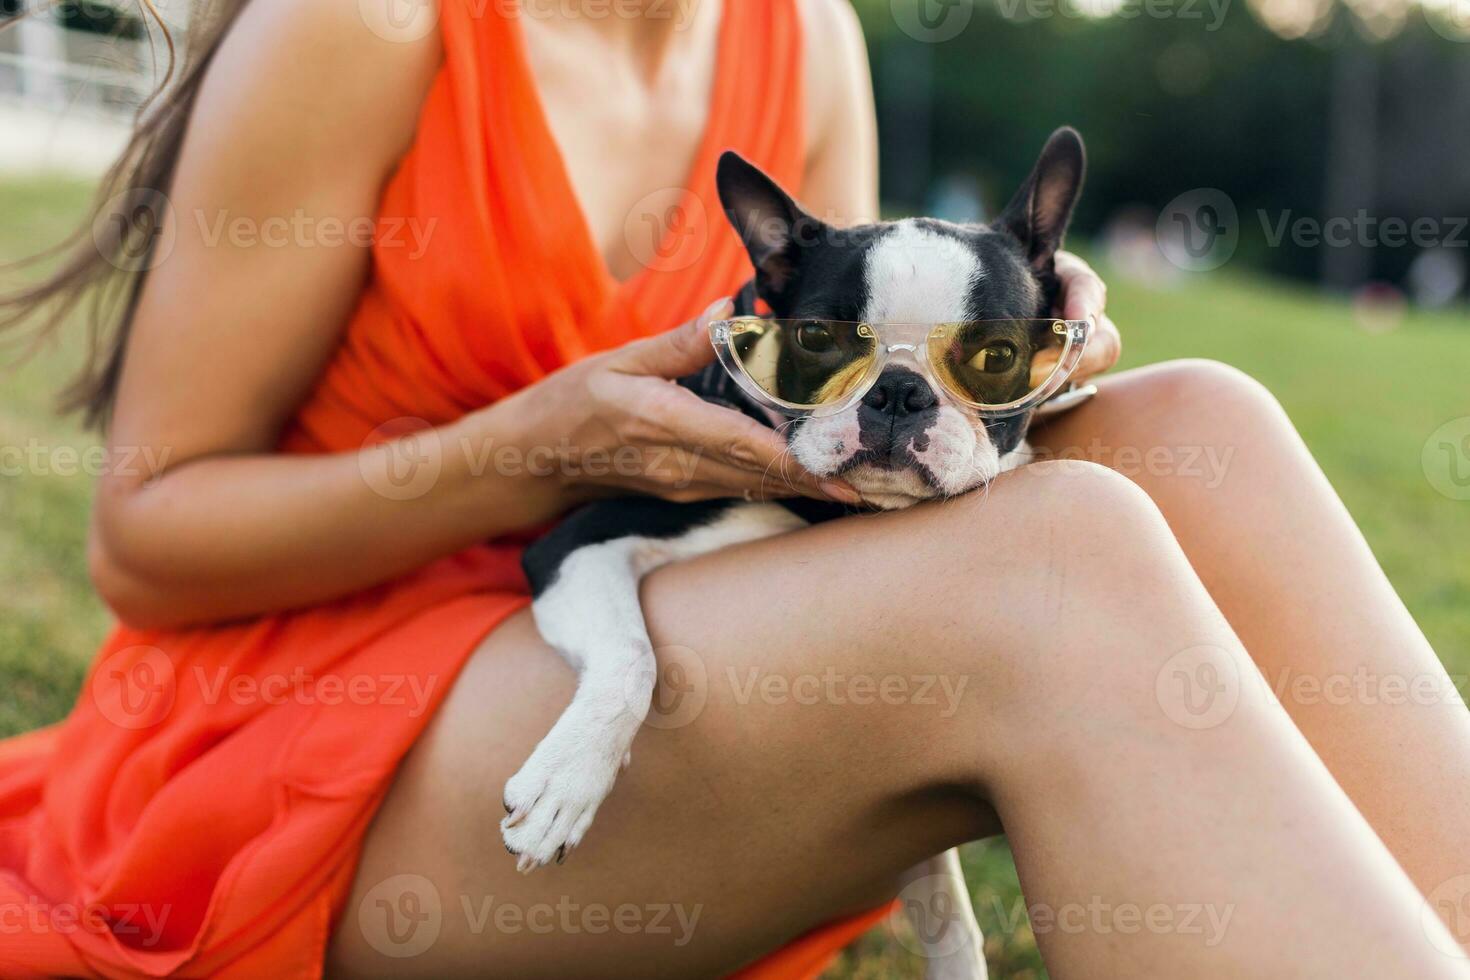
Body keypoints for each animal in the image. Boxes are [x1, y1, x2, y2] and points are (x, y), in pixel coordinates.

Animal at [505, 128, 1093, 975]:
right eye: (817, 340)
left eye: (995, 357)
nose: (899, 391)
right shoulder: (575, 545)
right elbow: (630, 657)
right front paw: (567, 778)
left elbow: (946, 902)